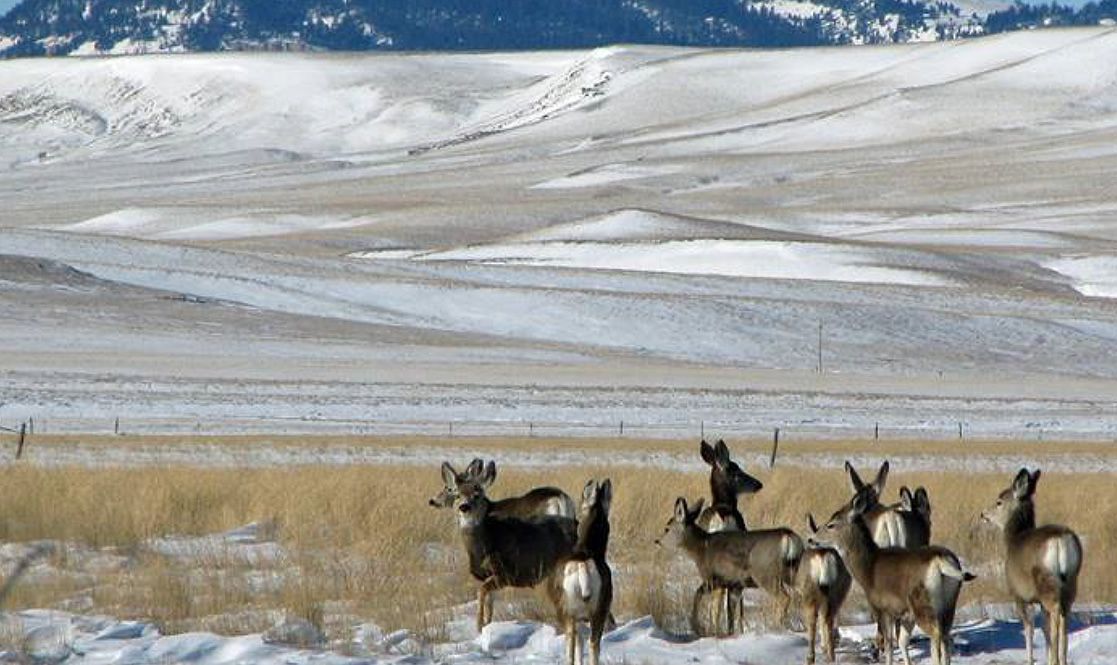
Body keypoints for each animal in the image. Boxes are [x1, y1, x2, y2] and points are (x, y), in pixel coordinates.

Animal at [442, 461, 577, 632]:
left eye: (476, 495)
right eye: (457, 494)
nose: (464, 507)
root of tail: (560, 498)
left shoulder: (505, 573)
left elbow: (483, 593)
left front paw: (479, 626)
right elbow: (489, 602)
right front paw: (486, 624)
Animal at [658, 497, 803, 635]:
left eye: (667, 528)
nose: (657, 541)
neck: (701, 548)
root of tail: (788, 537)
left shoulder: (714, 579)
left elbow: (706, 602)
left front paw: (700, 628)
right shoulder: (735, 585)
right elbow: (730, 613)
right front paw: (729, 633)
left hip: (766, 575)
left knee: (784, 597)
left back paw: (777, 625)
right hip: (792, 572)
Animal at [799, 514, 852, 665]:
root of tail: (823, 558)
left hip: (812, 593)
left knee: (815, 621)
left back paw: (817, 657)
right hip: (833, 592)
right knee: (826, 618)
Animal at [812, 483, 975, 665]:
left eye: (831, 524)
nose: (812, 539)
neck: (867, 568)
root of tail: (942, 562)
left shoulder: (883, 608)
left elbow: (889, 644)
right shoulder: (905, 614)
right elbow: (902, 641)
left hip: (922, 604)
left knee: (936, 635)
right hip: (948, 604)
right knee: (946, 636)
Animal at [980, 468, 1082, 665]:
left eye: (999, 502)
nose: (983, 514)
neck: (1012, 540)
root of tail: (1060, 541)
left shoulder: (1019, 595)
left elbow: (1029, 629)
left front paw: (1029, 659)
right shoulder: (1038, 601)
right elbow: (1043, 627)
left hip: (1047, 583)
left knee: (1055, 618)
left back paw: (1056, 659)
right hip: (1071, 583)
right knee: (1063, 619)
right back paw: (1061, 659)